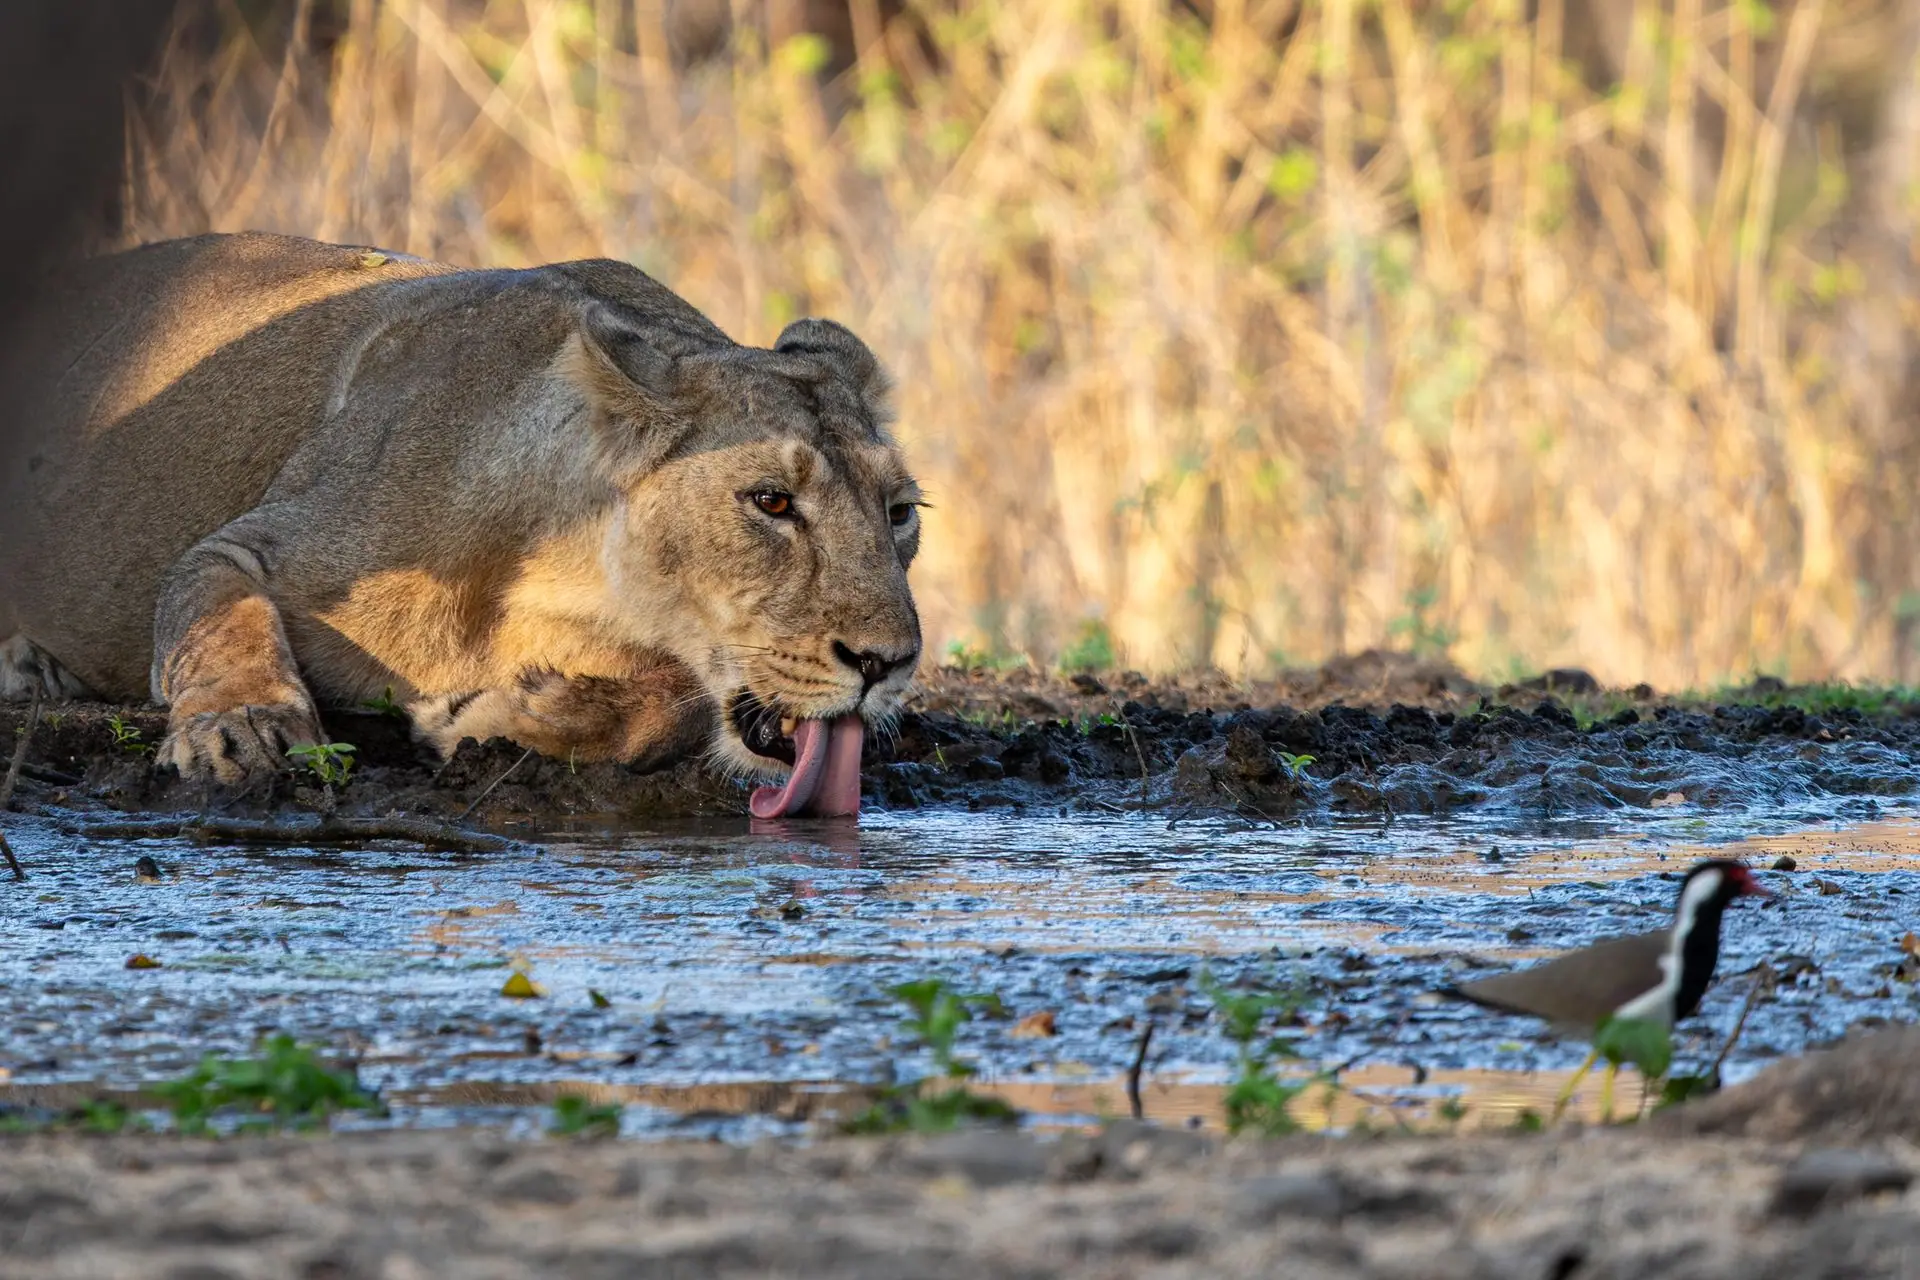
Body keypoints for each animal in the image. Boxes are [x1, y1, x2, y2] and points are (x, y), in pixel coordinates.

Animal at [0, 232, 924, 819]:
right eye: (771, 502)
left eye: (900, 514)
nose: (888, 664)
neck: (562, 577)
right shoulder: (247, 547)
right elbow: (220, 624)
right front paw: (244, 730)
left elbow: (676, 705)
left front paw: (497, 714)